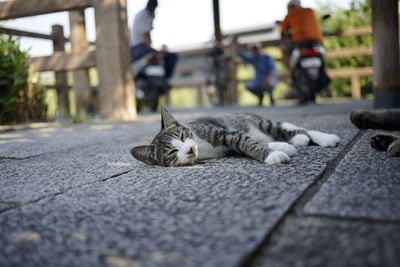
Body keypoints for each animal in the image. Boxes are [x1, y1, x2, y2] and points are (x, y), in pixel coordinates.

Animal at [131, 107, 340, 168]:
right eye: (172, 152)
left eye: (182, 136)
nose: (189, 149)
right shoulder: (227, 148)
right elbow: (250, 143)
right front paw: (279, 149)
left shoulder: (224, 133)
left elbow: (248, 143)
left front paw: (272, 155)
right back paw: (295, 142)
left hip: (262, 123)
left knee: (295, 129)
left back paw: (325, 138)